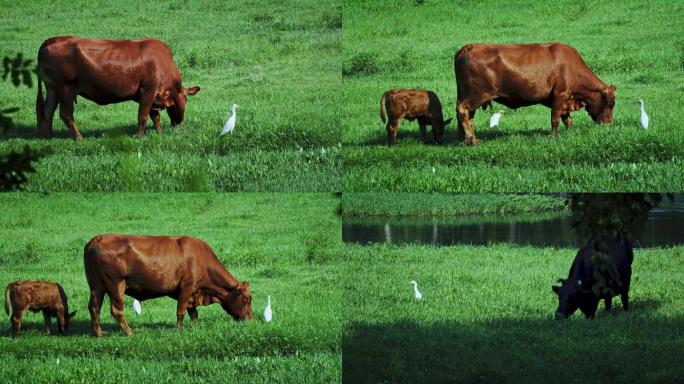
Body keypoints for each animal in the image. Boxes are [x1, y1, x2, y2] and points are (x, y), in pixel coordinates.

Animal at [36, 36, 200, 140]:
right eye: (185, 101)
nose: (179, 125)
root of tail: (55, 40)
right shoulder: (148, 90)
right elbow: (143, 115)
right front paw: (140, 136)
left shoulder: (152, 95)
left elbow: (155, 116)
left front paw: (158, 132)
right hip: (65, 90)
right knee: (65, 114)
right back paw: (79, 138)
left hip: (52, 90)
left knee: (47, 111)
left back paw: (49, 136)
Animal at [83, 234, 254, 336]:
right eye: (247, 299)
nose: (251, 319)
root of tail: (99, 238)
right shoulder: (186, 287)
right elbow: (181, 311)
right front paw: (179, 330)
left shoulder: (192, 292)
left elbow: (193, 313)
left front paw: (195, 326)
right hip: (115, 285)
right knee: (116, 311)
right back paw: (130, 332)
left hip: (96, 287)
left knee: (94, 307)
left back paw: (99, 333)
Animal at [454, 43, 616, 146]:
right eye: (611, 103)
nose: (609, 125)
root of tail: (469, 47)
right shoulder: (560, 94)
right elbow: (555, 119)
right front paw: (554, 137)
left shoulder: (564, 99)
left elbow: (567, 119)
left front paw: (570, 133)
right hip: (478, 95)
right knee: (462, 110)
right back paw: (472, 140)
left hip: (466, 94)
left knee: (467, 116)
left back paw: (467, 139)